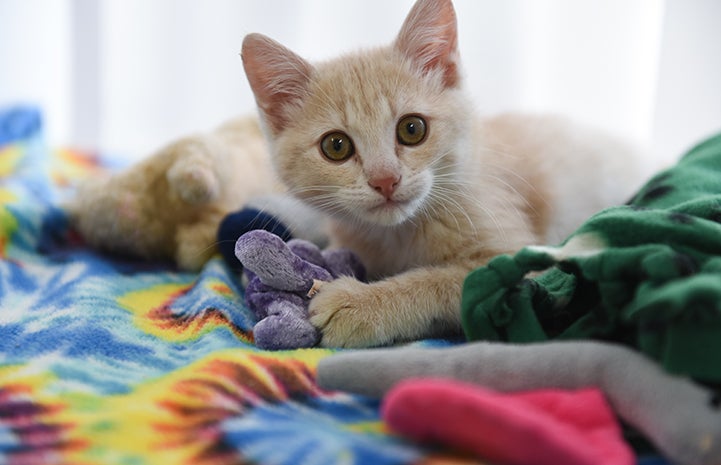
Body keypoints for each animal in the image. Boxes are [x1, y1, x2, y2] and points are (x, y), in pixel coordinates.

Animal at [238, 0, 648, 346]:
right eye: (336, 146)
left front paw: (363, 303)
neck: (399, 236)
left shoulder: (527, 268)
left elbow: (449, 281)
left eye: (412, 129)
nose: (385, 179)